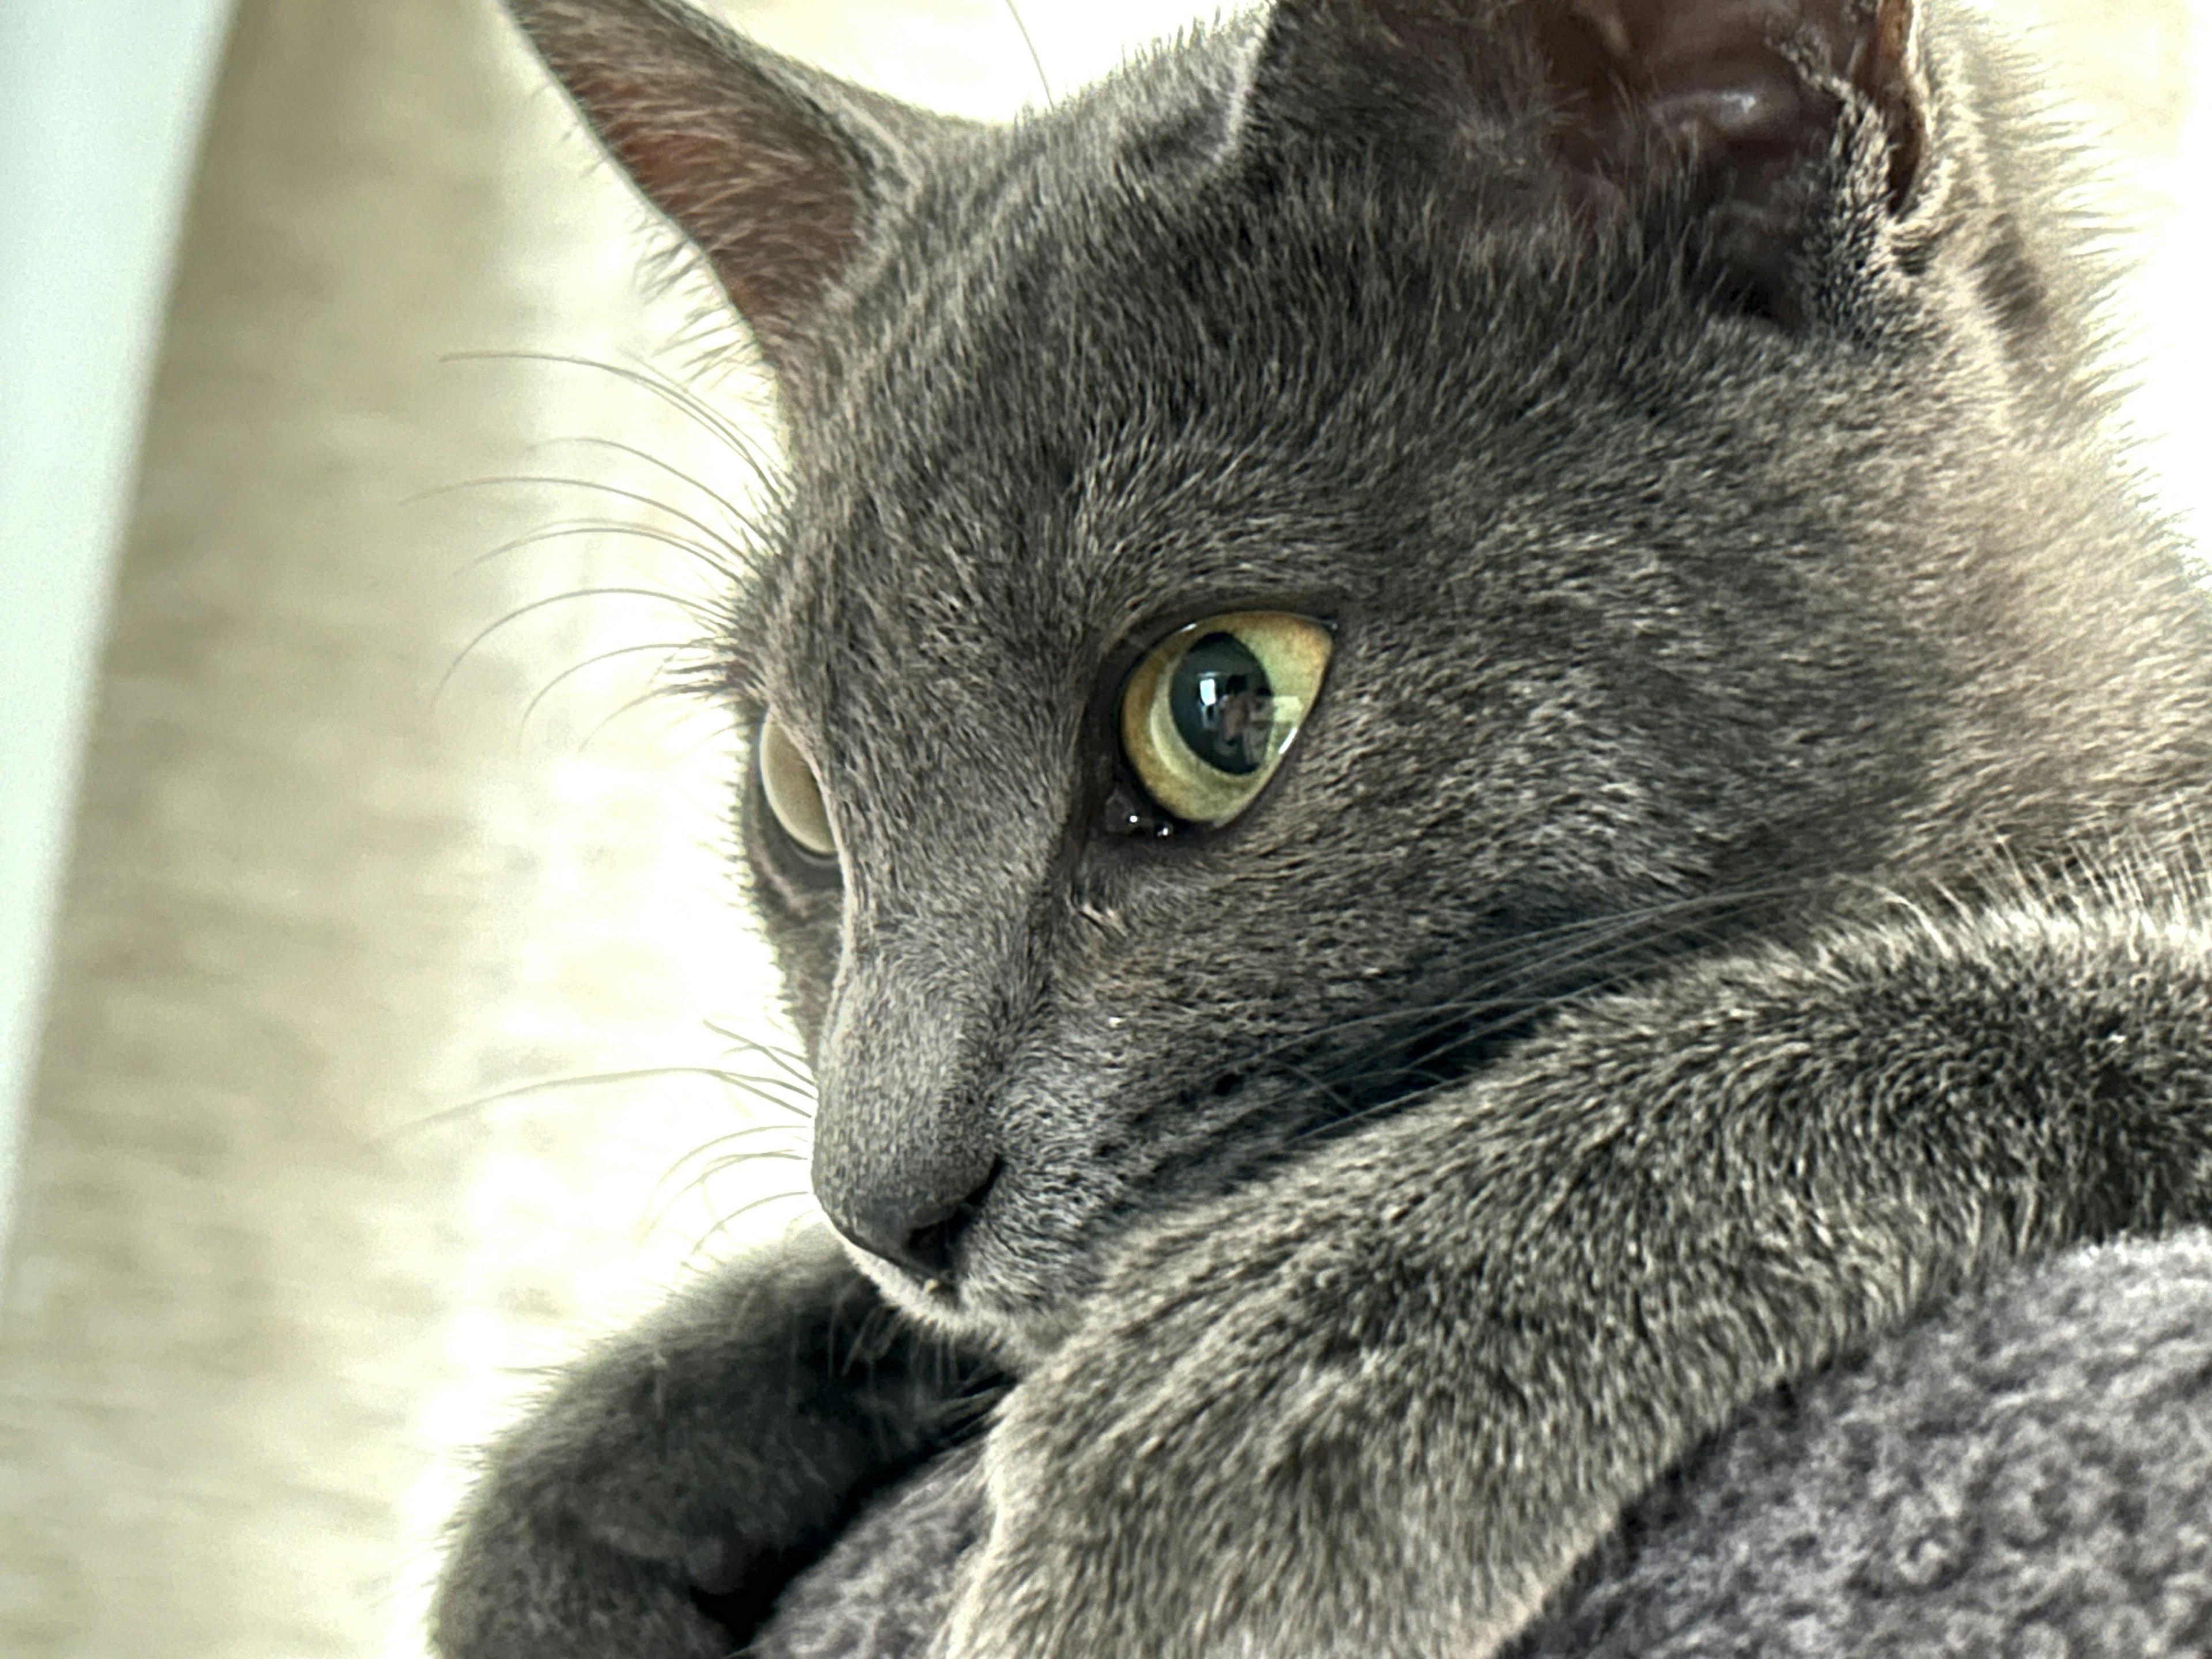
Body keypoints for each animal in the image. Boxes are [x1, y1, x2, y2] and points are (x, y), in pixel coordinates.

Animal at [431, 0, 2212, 1654]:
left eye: (1220, 704)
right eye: (797, 795)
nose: (885, 1204)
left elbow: (1955, 992)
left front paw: (1269, 1385)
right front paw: (572, 1515)